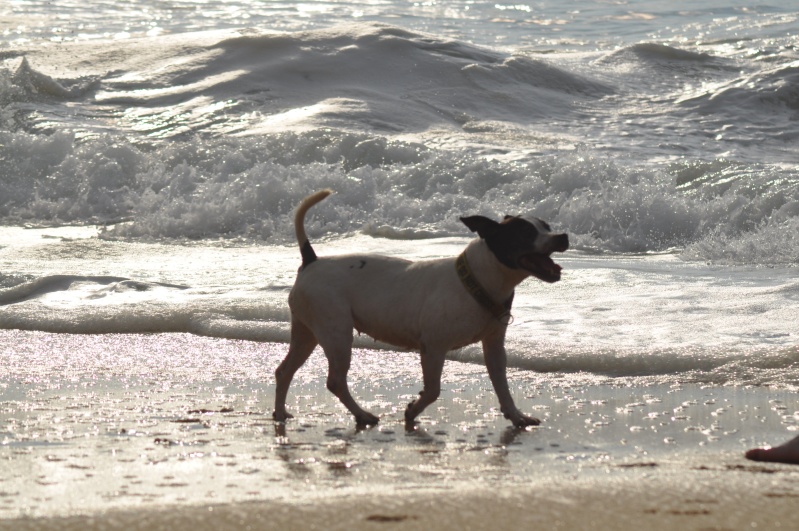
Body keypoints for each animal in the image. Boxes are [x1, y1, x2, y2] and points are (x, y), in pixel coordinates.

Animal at [274, 190, 568, 428]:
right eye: (525, 233)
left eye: (547, 226)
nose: (562, 236)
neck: (476, 280)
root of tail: (311, 262)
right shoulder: (433, 348)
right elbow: (433, 389)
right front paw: (412, 410)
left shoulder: (494, 346)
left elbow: (502, 385)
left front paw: (516, 416)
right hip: (336, 333)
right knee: (335, 381)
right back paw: (362, 414)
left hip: (307, 332)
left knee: (284, 370)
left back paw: (280, 413)